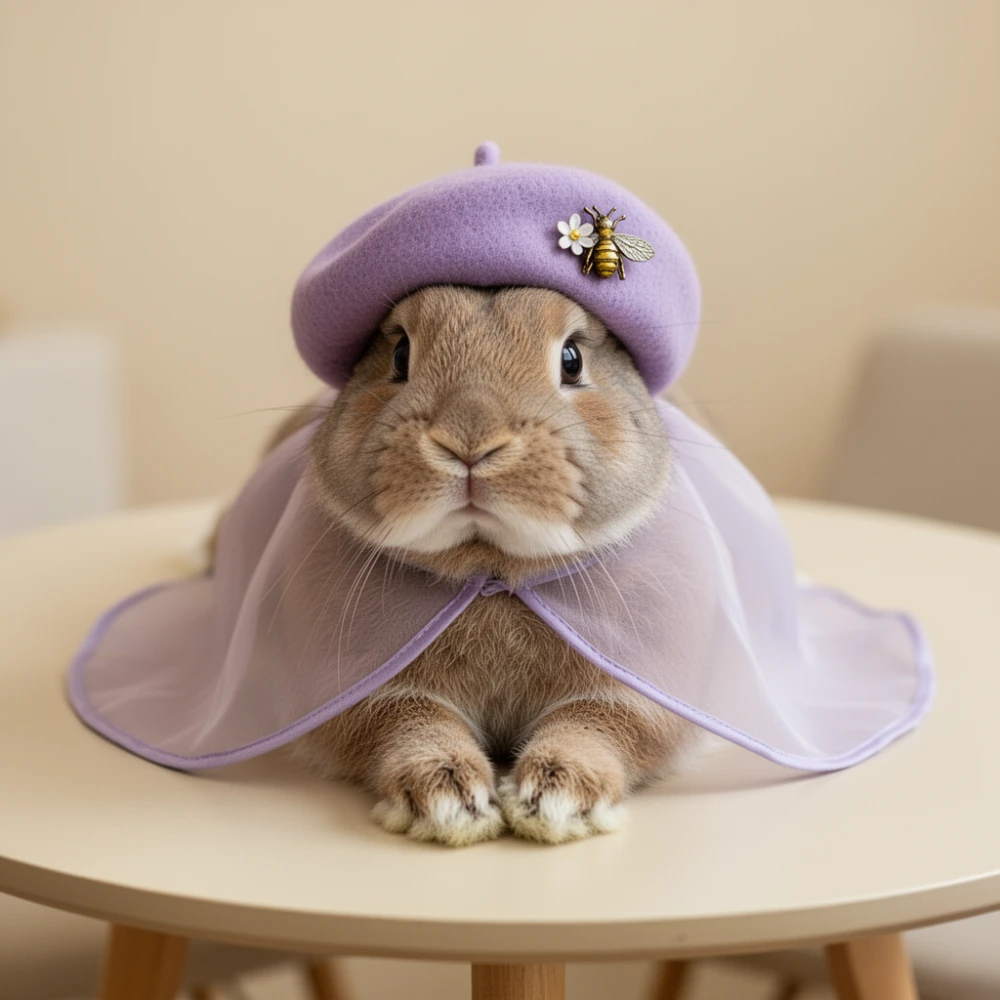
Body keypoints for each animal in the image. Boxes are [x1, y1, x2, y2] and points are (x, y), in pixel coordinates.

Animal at [263, 284, 695, 845]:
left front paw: (555, 801)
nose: (470, 440)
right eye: (399, 353)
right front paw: (450, 804)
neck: (490, 573)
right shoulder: (355, 696)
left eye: (572, 359)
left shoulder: (643, 695)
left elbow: (596, 724)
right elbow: (409, 720)